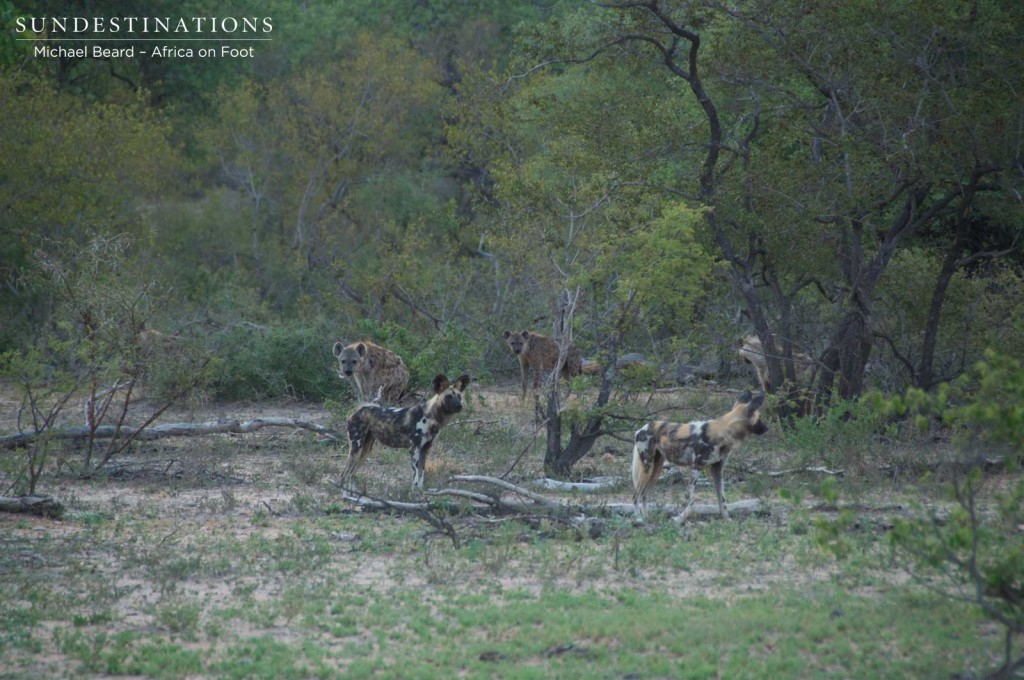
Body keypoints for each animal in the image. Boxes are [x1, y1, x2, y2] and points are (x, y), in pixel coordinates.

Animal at [630, 387, 770, 520]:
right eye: (760, 418)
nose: (767, 429)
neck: (725, 432)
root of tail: (642, 428)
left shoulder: (717, 469)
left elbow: (722, 500)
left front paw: (727, 520)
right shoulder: (696, 467)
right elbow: (689, 498)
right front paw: (679, 518)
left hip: (656, 469)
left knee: (644, 495)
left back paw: (647, 518)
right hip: (647, 467)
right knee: (636, 495)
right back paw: (638, 519)